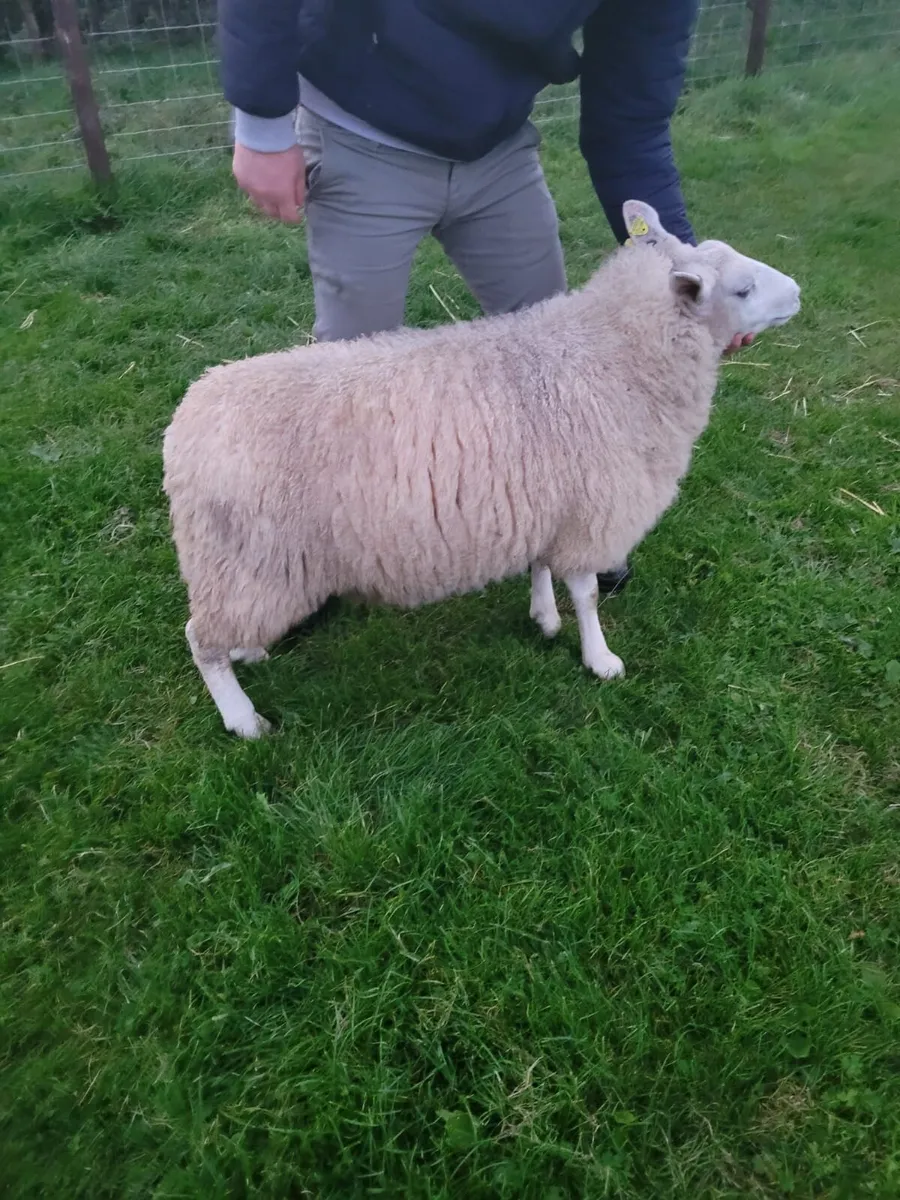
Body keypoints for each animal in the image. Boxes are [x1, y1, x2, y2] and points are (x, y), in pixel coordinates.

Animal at [162, 199, 801, 738]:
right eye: (743, 289)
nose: (797, 291)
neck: (609, 353)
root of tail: (185, 424)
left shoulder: (549, 500)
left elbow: (542, 566)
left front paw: (544, 617)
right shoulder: (592, 510)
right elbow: (588, 595)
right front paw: (600, 659)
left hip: (238, 567)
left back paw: (249, 654)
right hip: (250, 559)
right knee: (200, 639)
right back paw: (243, 719)